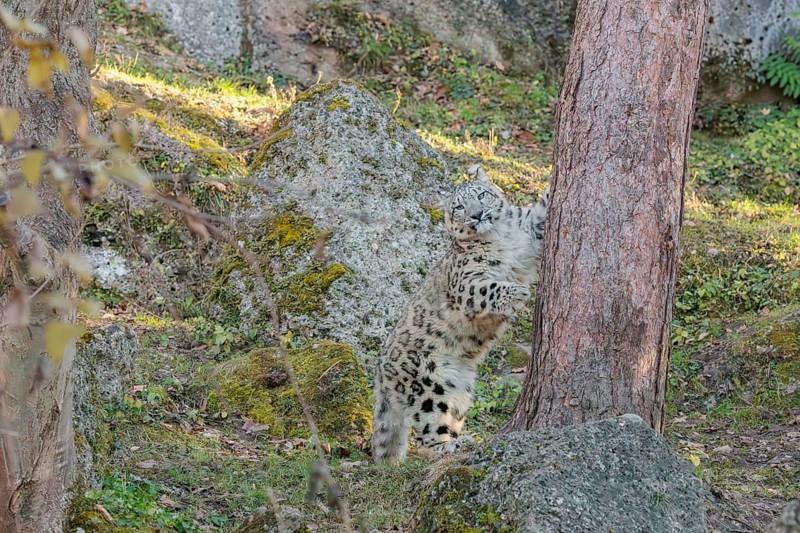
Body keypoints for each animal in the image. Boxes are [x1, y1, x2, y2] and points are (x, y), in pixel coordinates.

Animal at [371, 165, 549, 463]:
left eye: (481, 194)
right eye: (459, 207)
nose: (477, 214)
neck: (500, 236)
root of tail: (382, 372)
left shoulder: (529, 231)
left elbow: (541, 211)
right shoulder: (465, 282)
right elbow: (487, 288)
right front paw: (517, 294)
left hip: (460, 389)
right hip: (428, 386)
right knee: (426, 433)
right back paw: (451, 446)